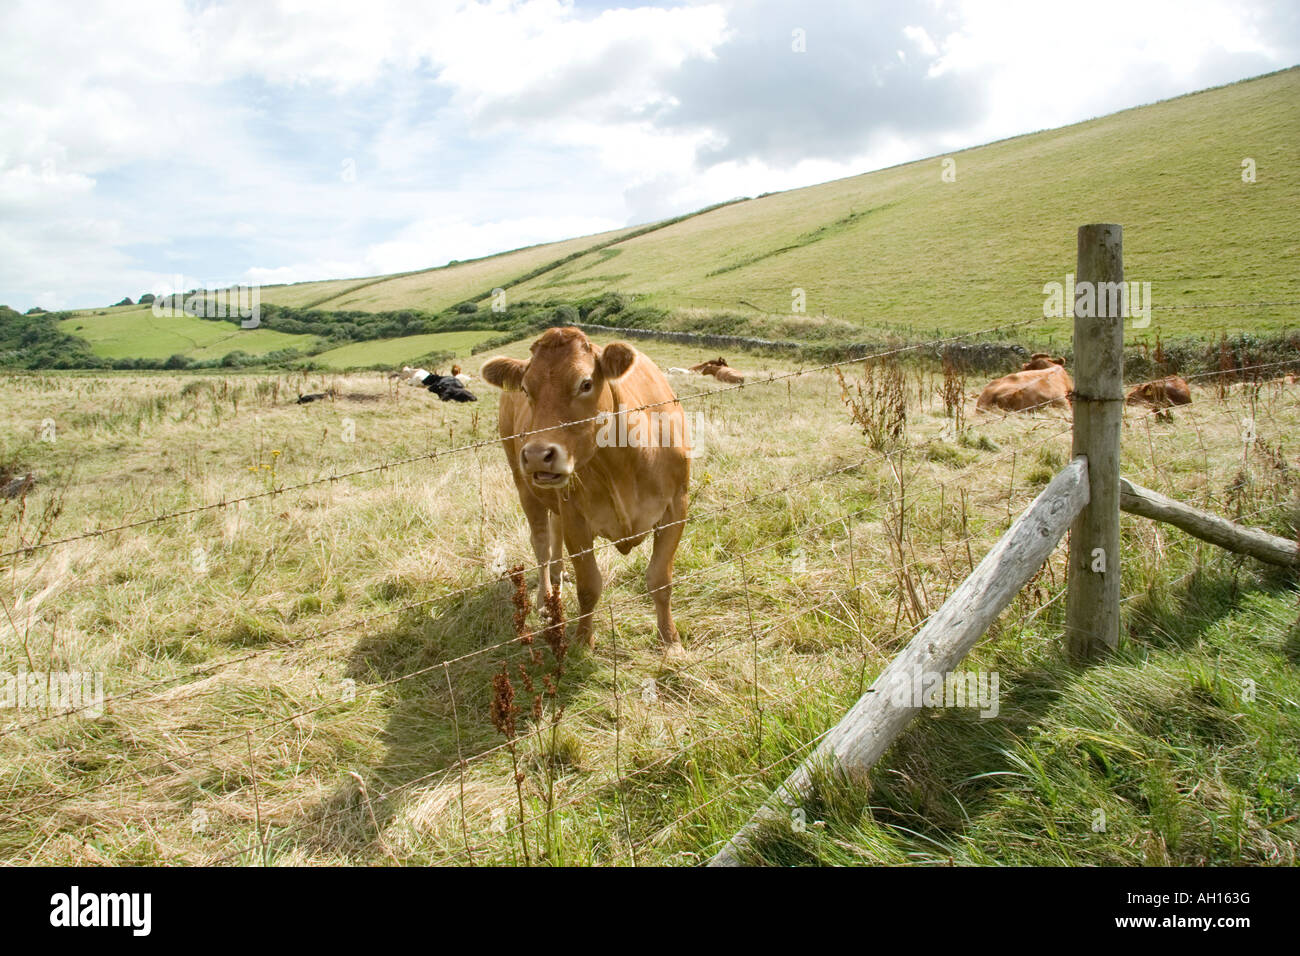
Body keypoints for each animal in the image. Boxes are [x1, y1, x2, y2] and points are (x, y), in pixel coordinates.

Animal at [481, 327, 690, 656]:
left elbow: (660, 579)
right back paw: (545, 598)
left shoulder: (676, 507)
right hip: (524, 485)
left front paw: (670, 641)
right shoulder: (576, 520)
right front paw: (582, 641)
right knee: (541, 544)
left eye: (586, 383)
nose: (538, 455)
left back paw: (557, 580)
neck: (624, 465)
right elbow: (589, 586)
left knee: (553, 533)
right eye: (526, 389)